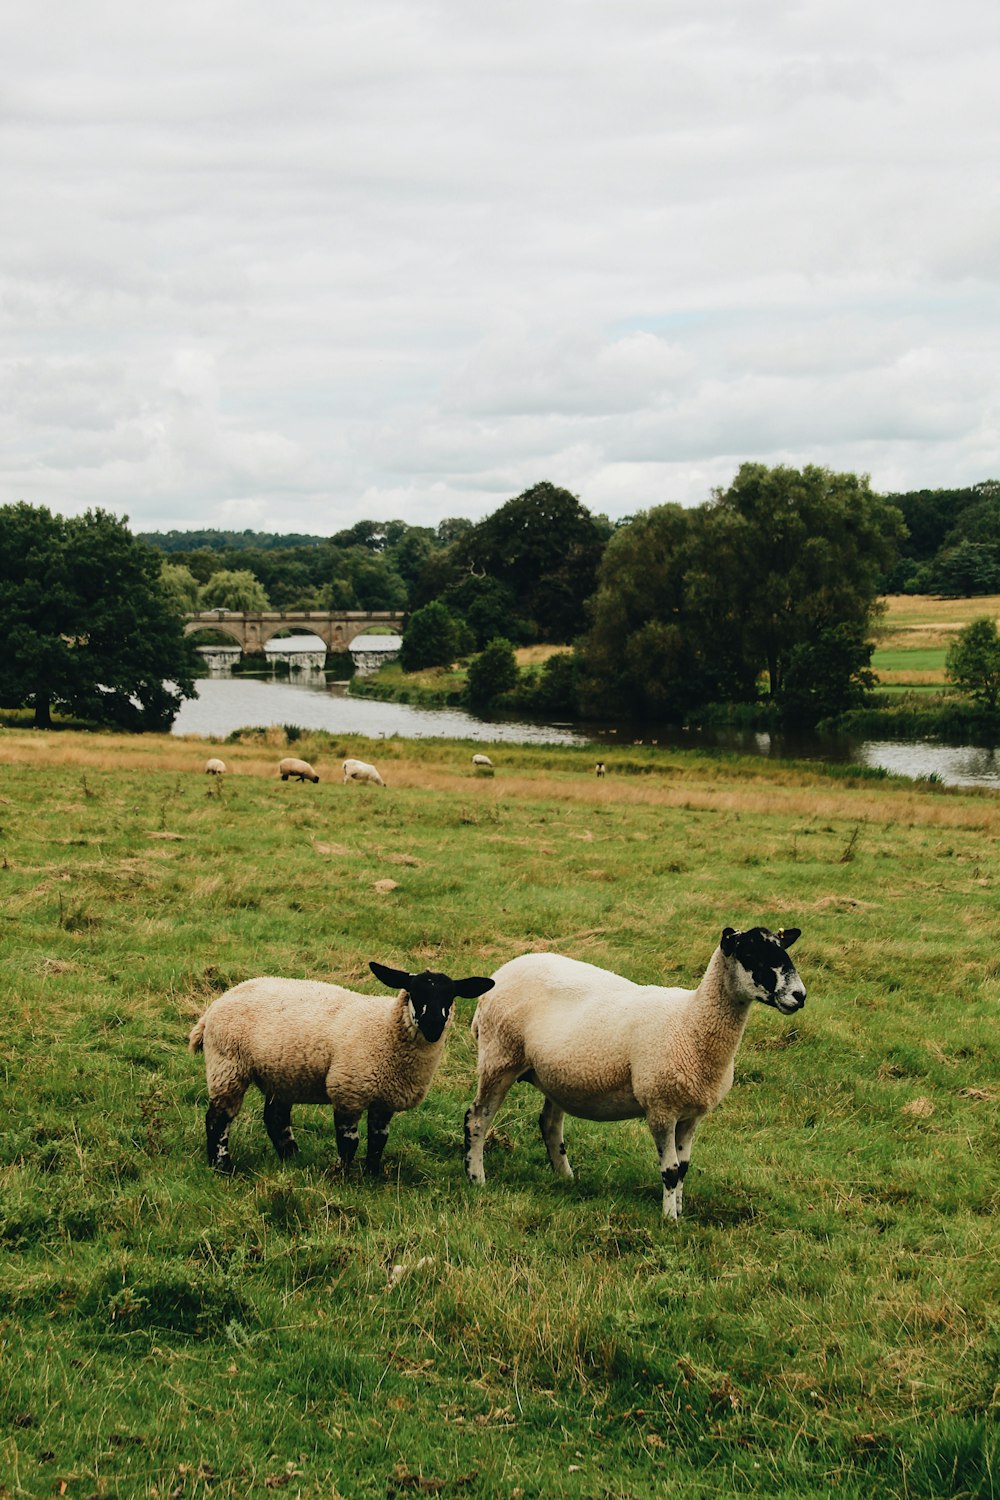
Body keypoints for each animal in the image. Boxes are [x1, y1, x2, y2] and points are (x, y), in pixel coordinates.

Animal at [186, 960, 491, 1170]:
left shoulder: (384, 1101)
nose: (433, 1024)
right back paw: (222, 1166)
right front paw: (343, 1174)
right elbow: (349, 1141)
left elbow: (379, 1140)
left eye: (451, 995)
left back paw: (292, 1157)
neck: (385, 1030)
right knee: (218, 1119)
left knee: (275, 1119)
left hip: (279, 1073)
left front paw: (372, 1174)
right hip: (228, 1065)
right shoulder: (348, 1090)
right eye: (414, 992)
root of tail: (214, 1007)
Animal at [464, 924, 803, 1218]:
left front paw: (680, 1210)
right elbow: (670, 1171)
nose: (800, 996)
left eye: (782, 950)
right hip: (499, 1057)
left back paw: (565, 1177)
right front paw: (669, 1219)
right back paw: (476, 1178)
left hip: (552, 1074)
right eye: (752, 955)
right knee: (477, 1120)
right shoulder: (661, 1107)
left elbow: (684, 1168)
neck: (690, 1022)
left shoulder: (691, 1114)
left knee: (549, 1125)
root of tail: (501, 972)